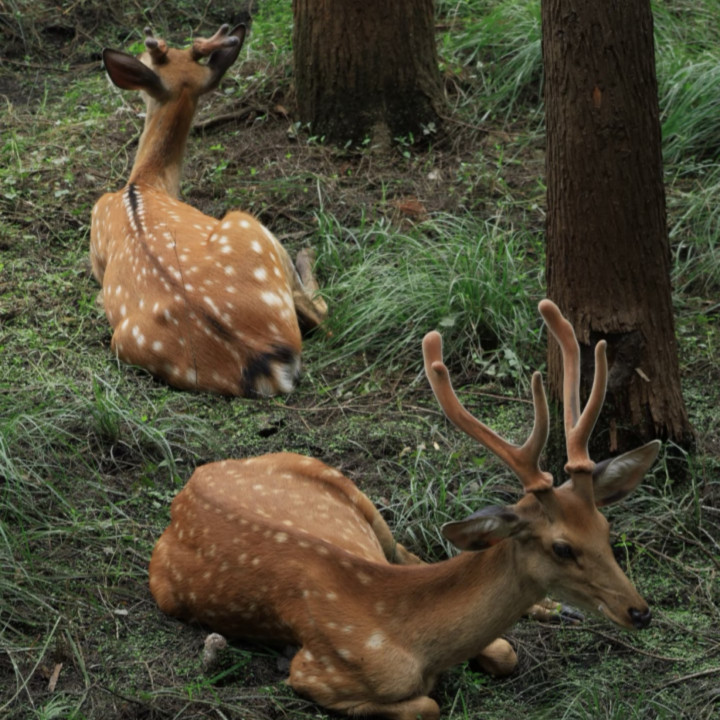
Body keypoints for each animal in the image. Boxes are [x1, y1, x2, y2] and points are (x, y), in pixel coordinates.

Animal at [90, 24, 327, 396]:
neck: (144, 184)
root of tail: (264, 360)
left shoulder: (96, 238)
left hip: (245, 225)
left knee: (321, 311)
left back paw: (307, 252)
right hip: (246, 229)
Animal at [148, 300, 660, 720]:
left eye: (605, 527)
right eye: (562, 547)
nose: (640, 612)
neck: (409, 637)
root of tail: (192, 482)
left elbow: (504, 654)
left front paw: (545, 613)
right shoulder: (316, 672)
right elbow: (427, 705)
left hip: (343, 483)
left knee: (406, 549)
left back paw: (556, 609)